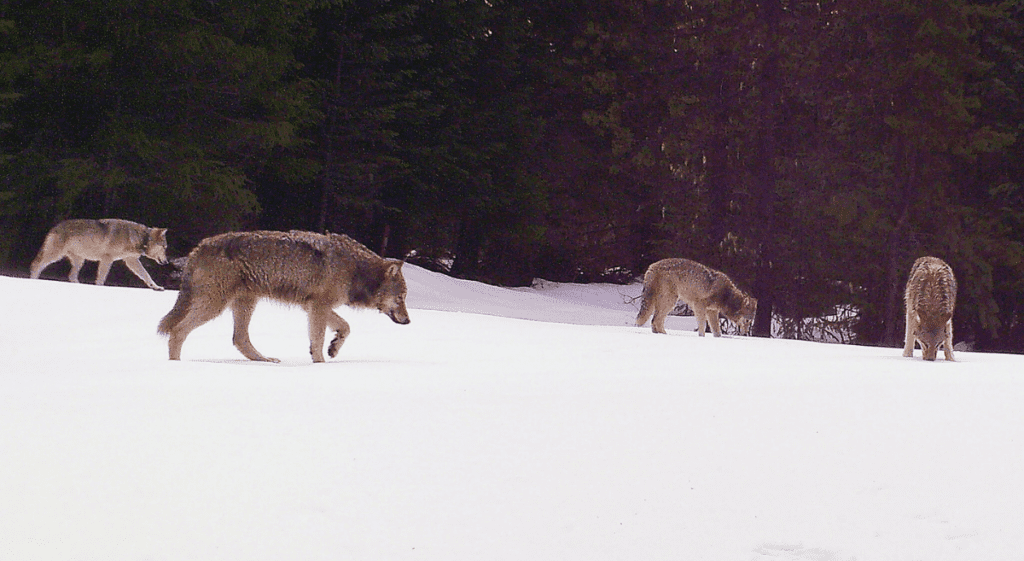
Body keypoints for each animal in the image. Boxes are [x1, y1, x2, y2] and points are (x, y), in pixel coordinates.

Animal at [30, 218, 168, 290]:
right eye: (164, 247)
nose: (167, 261)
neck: (141, 238)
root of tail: (54, 227)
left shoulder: (131, 260)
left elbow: (147, 275)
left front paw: (156, 287)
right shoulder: (107, 258)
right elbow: (102, 277)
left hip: (79, 261)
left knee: (71, 276)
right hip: (55, 255)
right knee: (36, 265)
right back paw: (33, 280)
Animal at [157, 230, 411, 363]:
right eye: (401, 298)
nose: (408, 321)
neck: (355, 269)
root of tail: (199, 247)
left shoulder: (313, 306)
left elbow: (345, 327)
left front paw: (334, 347)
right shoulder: (318, 307)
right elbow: (319, 340)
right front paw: (321, 365)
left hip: (245, 304)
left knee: (239, 339)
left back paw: (265, 361)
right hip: (215, 305)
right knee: (178, 331)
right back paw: (175, 365)